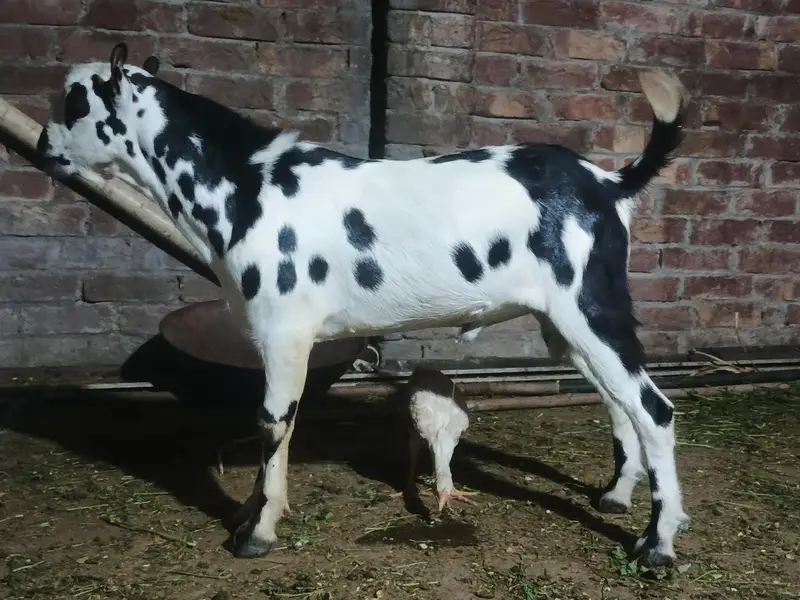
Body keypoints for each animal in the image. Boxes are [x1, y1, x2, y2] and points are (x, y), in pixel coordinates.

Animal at [37, 42, 690, 566]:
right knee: (619, 405)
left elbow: (272, 423)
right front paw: (253, 514)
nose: (43, 146)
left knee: (654, 410)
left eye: (73, 103)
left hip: (591, 310)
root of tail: (608, 184)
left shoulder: (284, 331)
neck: (248, 187)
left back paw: (657, 545)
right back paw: (615, 496)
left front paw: (256, 531)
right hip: (568, 325)